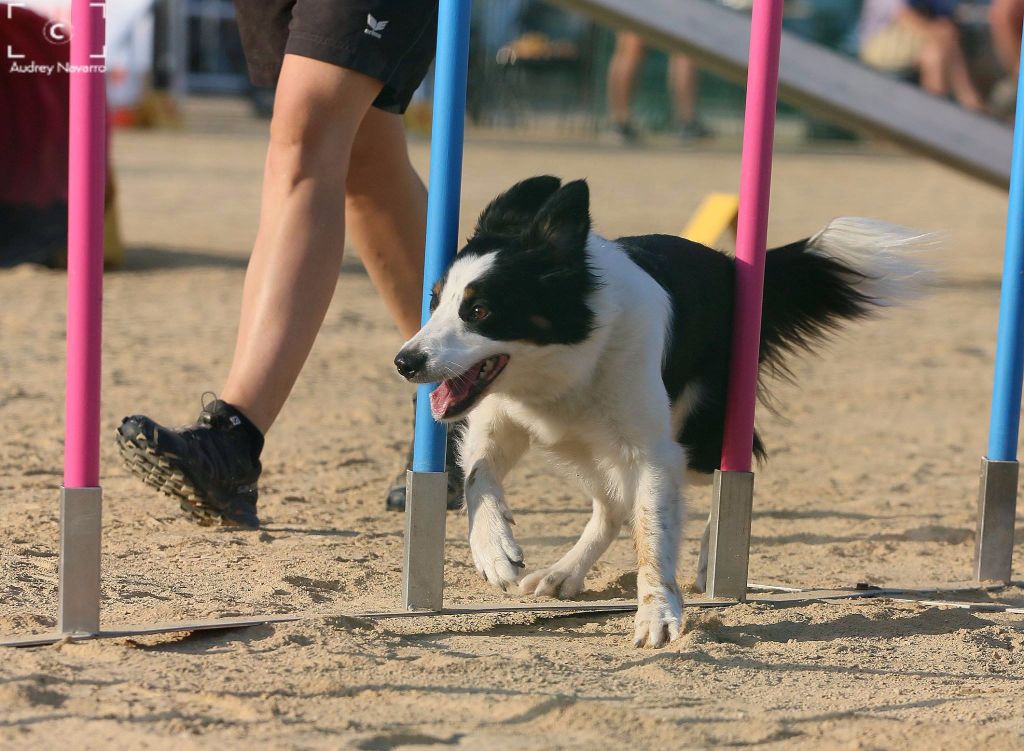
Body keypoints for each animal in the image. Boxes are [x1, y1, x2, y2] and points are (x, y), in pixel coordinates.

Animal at [391, 174, 929, 643]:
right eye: (434, 302)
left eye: (479, 311)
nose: (405, 362)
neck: (566, 362)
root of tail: (729, 266)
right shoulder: (500, 420)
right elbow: (478, 475)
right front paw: (495, 551)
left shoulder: (651, 452)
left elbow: (653, 529)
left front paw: (658, 612)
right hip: (583, 446)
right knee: (610, 504)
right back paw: (565, 571)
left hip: (697, 433)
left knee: (730, 471)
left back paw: (713, 558)